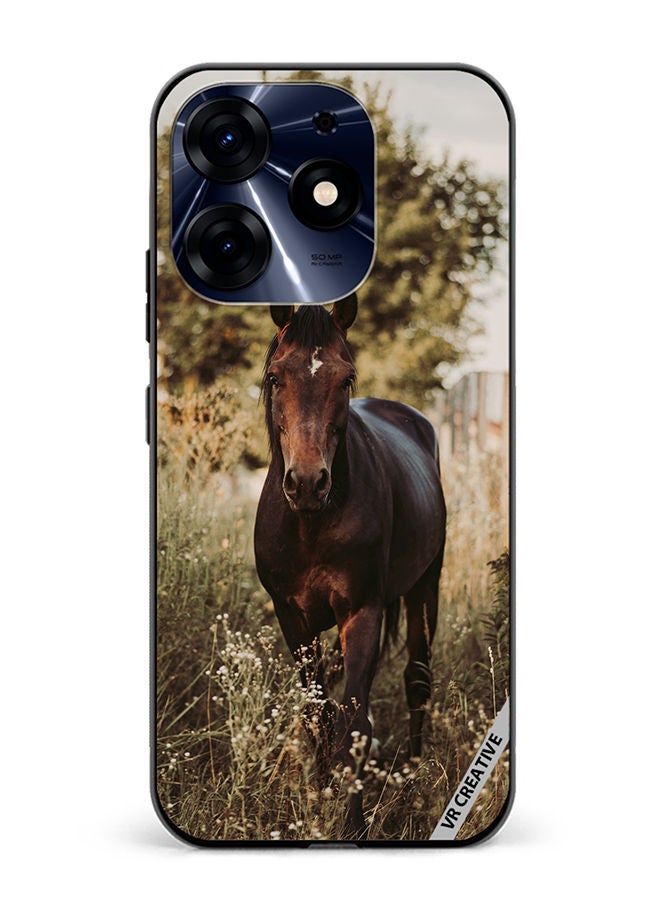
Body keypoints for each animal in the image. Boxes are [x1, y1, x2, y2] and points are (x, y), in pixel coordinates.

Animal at [254, 295, 446, 837]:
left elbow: (354, 725)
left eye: (346, 378)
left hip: (425, 587)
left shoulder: (362, 612)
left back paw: (414, 776)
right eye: (275, 376)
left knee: (417, 680)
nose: (307, 482)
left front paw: (353, 825)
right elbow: (317, 715)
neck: (311, 523)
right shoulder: (293, 619)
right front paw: (319, 798)